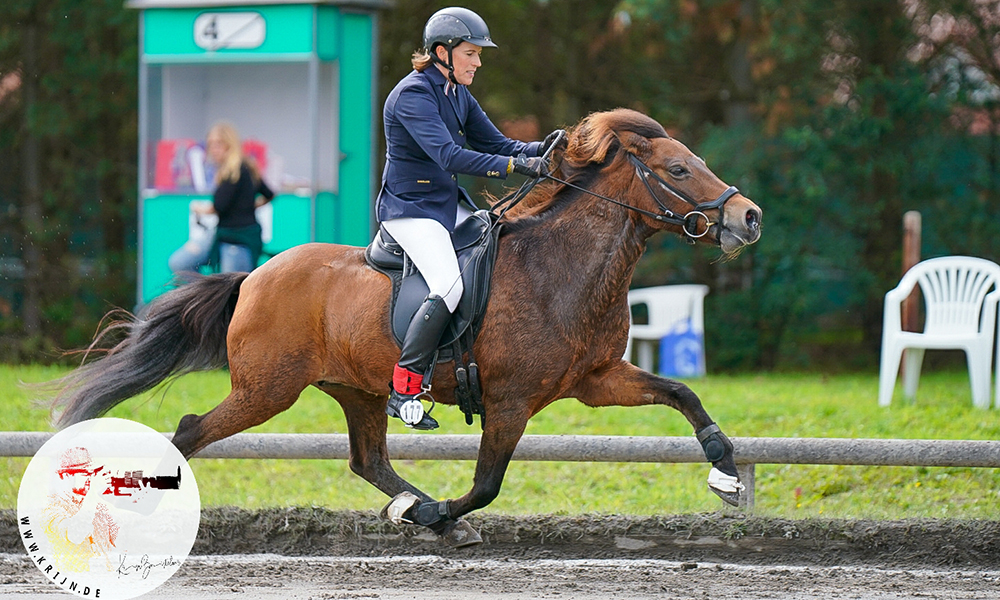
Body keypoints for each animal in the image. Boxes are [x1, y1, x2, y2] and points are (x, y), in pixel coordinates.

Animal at [50, 106, 760, 544]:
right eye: (678, 170)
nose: (747, 218)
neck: (562, 268)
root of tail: (254, 276)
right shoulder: (511, 401)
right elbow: (486, 484)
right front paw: (443, 512)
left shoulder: (596, 378)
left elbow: (683, 394)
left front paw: (727, 475)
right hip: (267, 389)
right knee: (194, 429)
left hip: (356, 388)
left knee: (368, 459)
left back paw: (413, 506)